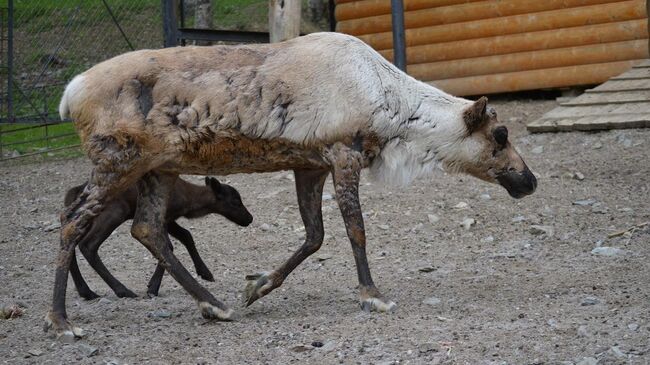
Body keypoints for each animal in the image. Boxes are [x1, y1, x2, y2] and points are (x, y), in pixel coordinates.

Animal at [64, 176, 251, 298]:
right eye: (235, 201)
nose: (250, 218)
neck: (188, 201)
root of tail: (75, 192)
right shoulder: (164, 217)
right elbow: (167, 245)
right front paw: (152, 288)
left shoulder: (171, 219)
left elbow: (186, 236)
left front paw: (205, 273)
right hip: (115, 212)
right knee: (88, 245)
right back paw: (122, 290)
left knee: (69, 241)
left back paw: (87, 292)